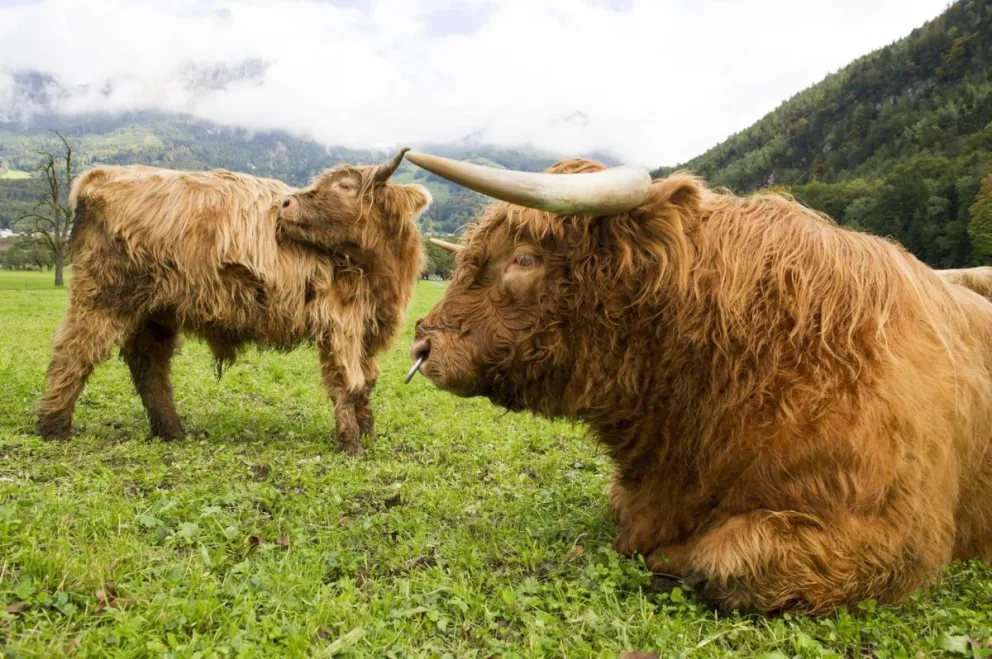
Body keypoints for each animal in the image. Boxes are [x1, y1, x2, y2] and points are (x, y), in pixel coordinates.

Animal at [37, 150, 430, 456]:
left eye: (345, 186)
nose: (285, 204)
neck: (381, 269)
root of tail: (100, 176)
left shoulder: (371, 329)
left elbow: (367, 382)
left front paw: (368, 432)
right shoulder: (341, 323)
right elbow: (348, 383)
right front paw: (351, 444)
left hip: (155, 310)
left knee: (149, 365)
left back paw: (172, 432)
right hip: (104, 295)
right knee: (74, 352)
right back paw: (53, 427)